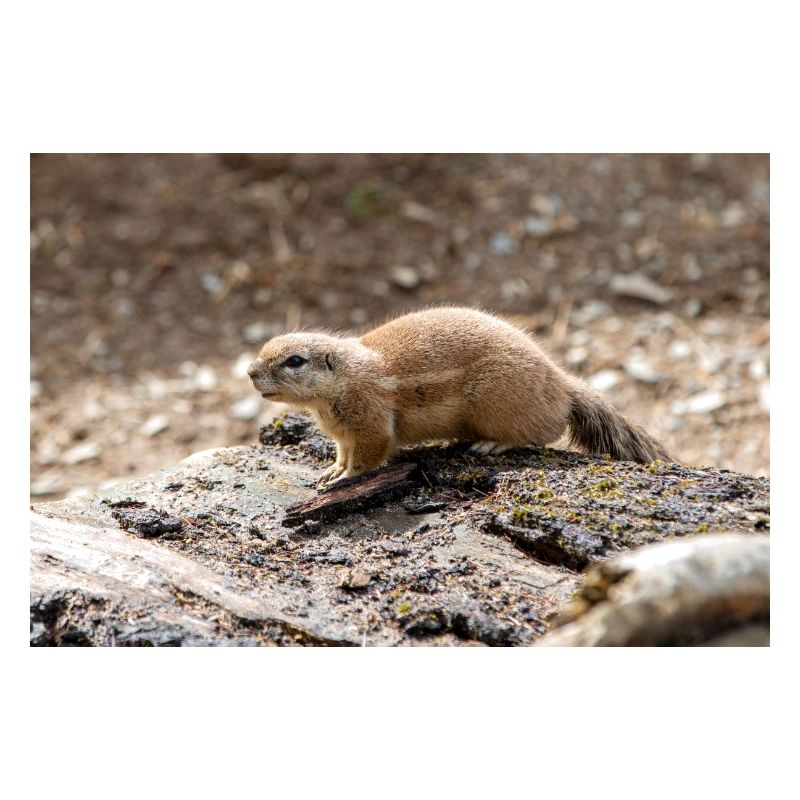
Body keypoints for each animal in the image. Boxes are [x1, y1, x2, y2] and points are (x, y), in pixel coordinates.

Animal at [247, 307, 670, 485]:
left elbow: (367, 459)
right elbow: (341, 453)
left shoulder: (371, 425)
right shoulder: (345, 436)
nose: (250, 373)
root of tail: (562, 383)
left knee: (543, 434)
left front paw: (341, 480)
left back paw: (491, 445)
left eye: (295, 360)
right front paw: (331, 471)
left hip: (498, 402)